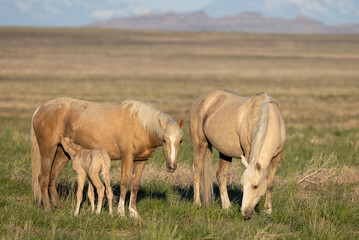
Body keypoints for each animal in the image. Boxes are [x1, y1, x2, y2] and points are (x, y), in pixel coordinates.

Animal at [31, 97, 184, 218]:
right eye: (164, 140)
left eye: (180, 141)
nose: (171, 167)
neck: (141, 125)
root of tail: (40, 109)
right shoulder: (127, 157)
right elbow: (124, 184)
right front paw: (121, 212)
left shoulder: (141, 160)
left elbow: (135, 185)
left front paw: (133, 213)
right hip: (48, 151)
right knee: (43, 178)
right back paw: (48, 209)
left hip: (62, 153)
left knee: (52, 177)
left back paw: (57, 206)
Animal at [188, 89, 286, 219]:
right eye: (242, 185)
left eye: (255, 186)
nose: (245, 213)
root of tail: (200, 100)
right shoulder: (248, 152)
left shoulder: (277, 157)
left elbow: (270, 183)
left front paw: (268, 210)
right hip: (200, 145)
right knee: (197, 171)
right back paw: (197, 203)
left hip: (224, 153)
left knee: (221, 175)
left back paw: (226, 207)